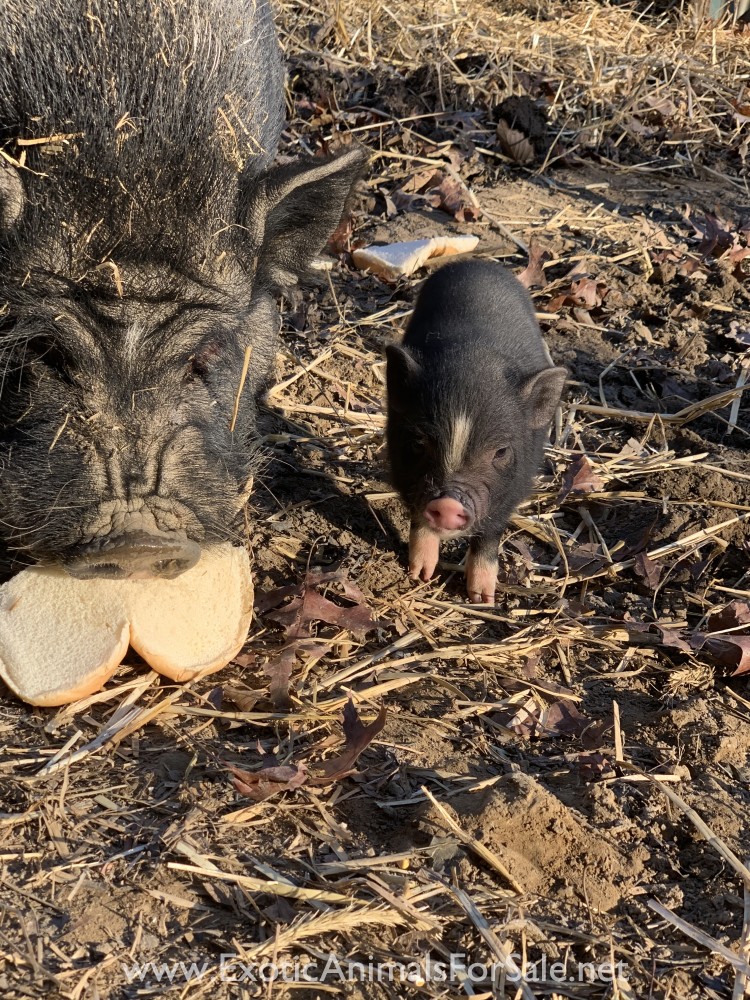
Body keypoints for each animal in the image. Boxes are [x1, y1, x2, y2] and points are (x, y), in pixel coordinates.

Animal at [386, 260, 566, 603]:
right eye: (418, 443)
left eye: (501, 451)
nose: (447, 504)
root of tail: (476, 262)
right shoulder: (406, 477)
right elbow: (419, 521)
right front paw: (419, 576)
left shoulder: (513, 491)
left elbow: (490, 535)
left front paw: (482, 598)